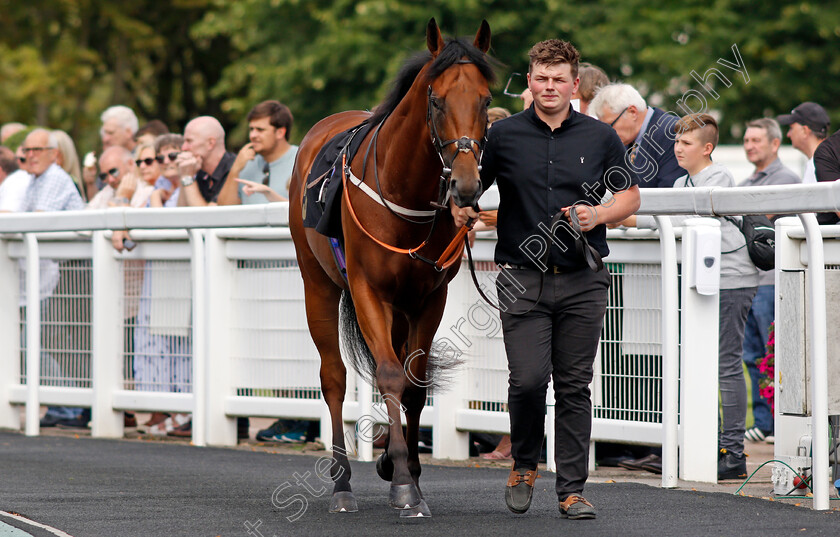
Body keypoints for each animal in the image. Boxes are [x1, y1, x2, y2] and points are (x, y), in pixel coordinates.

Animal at [288, 17, 492, 516]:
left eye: (485, 100)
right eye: (437, 100)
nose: (466, 186)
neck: (404, 194)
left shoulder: (429, 296)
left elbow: (414, 381)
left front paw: (407, 472)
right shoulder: (367, 290)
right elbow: (387, 374)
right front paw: (401, 482)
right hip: (317, 283)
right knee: (334, 377)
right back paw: (342, 485)